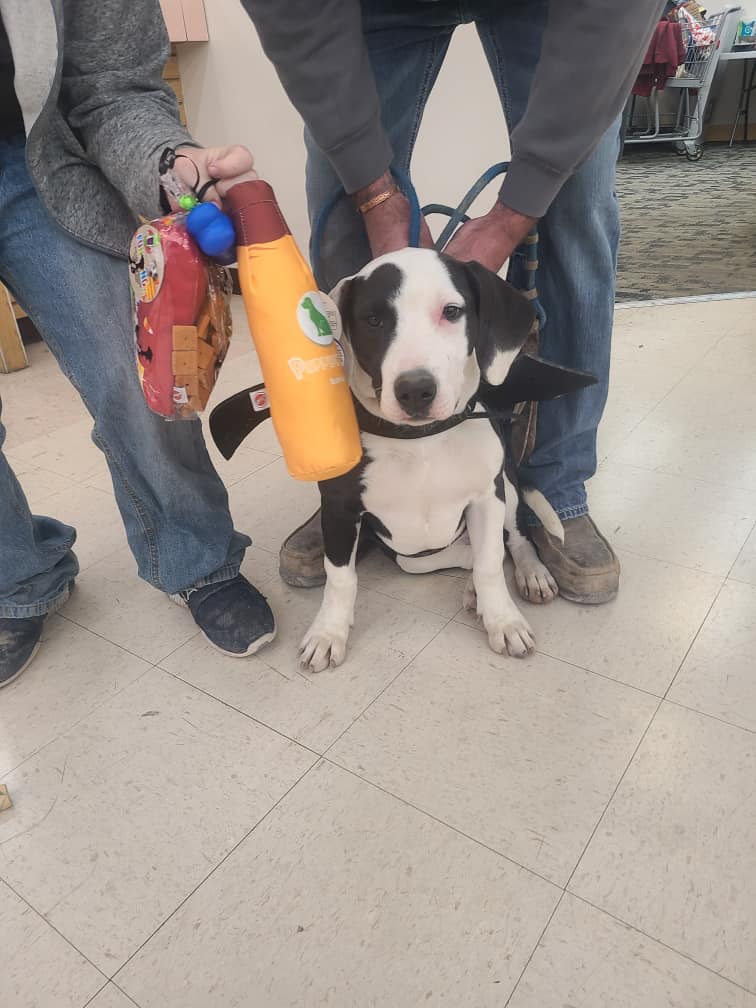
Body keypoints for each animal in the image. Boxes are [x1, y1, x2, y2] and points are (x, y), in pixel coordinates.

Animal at [299, 246, 564, 673]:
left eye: (451, 311)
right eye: (374, 320)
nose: (415, 390)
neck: (421, 441)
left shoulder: (487, 498)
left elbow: (492, 563)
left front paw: (503, 621)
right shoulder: (339, 510)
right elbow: (340, 578)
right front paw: (328, 632)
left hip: (505, 487)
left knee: (514, 538)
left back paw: (531, 574)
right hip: (410, 555)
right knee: (463, 555)